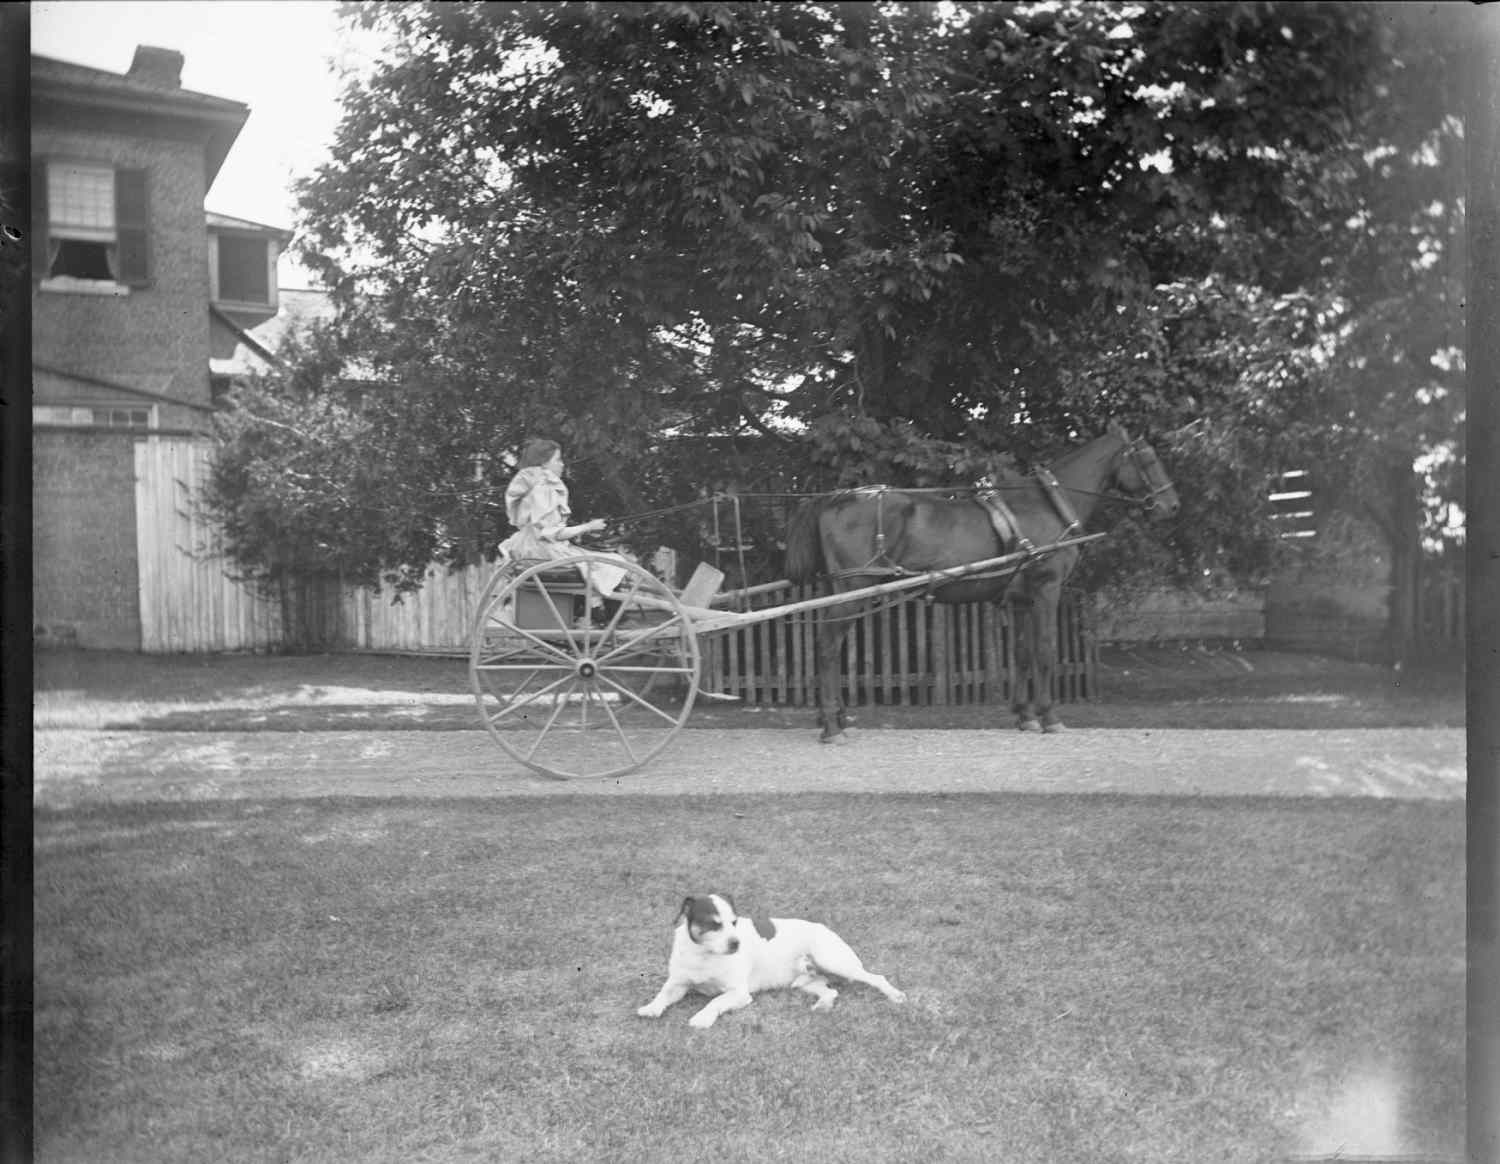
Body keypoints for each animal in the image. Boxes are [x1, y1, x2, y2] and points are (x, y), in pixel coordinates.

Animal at [633, 894, 900, 1032]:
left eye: (734, 922)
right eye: (713, 924)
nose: (736, 944)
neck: (704, 955)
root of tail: (827, 929)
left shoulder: (739, 993)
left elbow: (715, 1002)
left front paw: (702, 1017)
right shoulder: (677, 984)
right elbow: (662, 995)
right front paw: (651, 1007)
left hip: (833, 960)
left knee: (876, 978)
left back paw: (895, 995)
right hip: (805, 981)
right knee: (831, 991)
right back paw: (823, 1004)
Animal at [786, 423, 1182, 741]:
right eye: (1148, 459)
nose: (1172, 506)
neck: (1047, 504)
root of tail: (836, 498)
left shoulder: (1020, 599)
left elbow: (1022, 654)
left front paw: (1025, 716)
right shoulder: (1046, 589)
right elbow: (1045, 650)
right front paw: (1049, 717)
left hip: (838, 589)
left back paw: (835, 718)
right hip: (854, 590)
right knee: (827, 647)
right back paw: (832, 726)